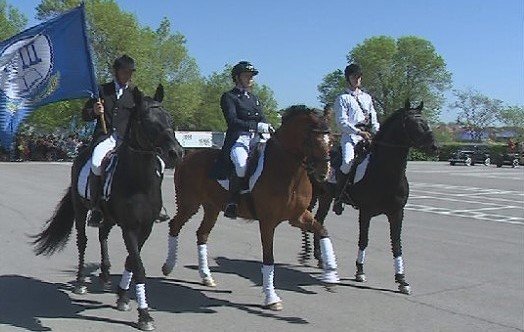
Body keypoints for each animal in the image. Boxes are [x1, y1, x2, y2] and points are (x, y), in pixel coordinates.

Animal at [32, 85, 184, 330]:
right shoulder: (129, 227)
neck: (139, 181)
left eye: (169, 118)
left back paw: (104, 273)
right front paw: (144, 315)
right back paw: (80, 282)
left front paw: (123, 297)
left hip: (110, 217)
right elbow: (138, 266)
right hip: (80, 209)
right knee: (82, 241)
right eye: (145, 120)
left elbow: (132, 260)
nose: (176, 153)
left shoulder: (146, 227)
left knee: (102, 234)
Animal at [161, 105, 340, 312]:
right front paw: (272, 298)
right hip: (189, 203)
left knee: (202, 234)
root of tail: (188, 156)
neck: (287, 170)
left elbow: (323, 231)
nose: (325, 173)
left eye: (331, 141)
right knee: (175, 225)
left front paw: (331, 278)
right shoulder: (268, 222)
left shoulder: (298, 217)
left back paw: (206, 277)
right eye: (312, 139)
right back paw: (168, 266)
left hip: (212, 207)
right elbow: (268, 258)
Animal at [298, 100, 438, 294]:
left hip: (326, 197)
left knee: (318, 220)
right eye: (415, 123)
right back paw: (307, 253)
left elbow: (396, 244)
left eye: (426, 121)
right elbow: (363, 240)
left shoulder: (397, 213)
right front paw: (360, 271)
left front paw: (402, 279)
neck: (385, 171)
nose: (434, 146)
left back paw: (319, 258)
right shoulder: (365, 212)